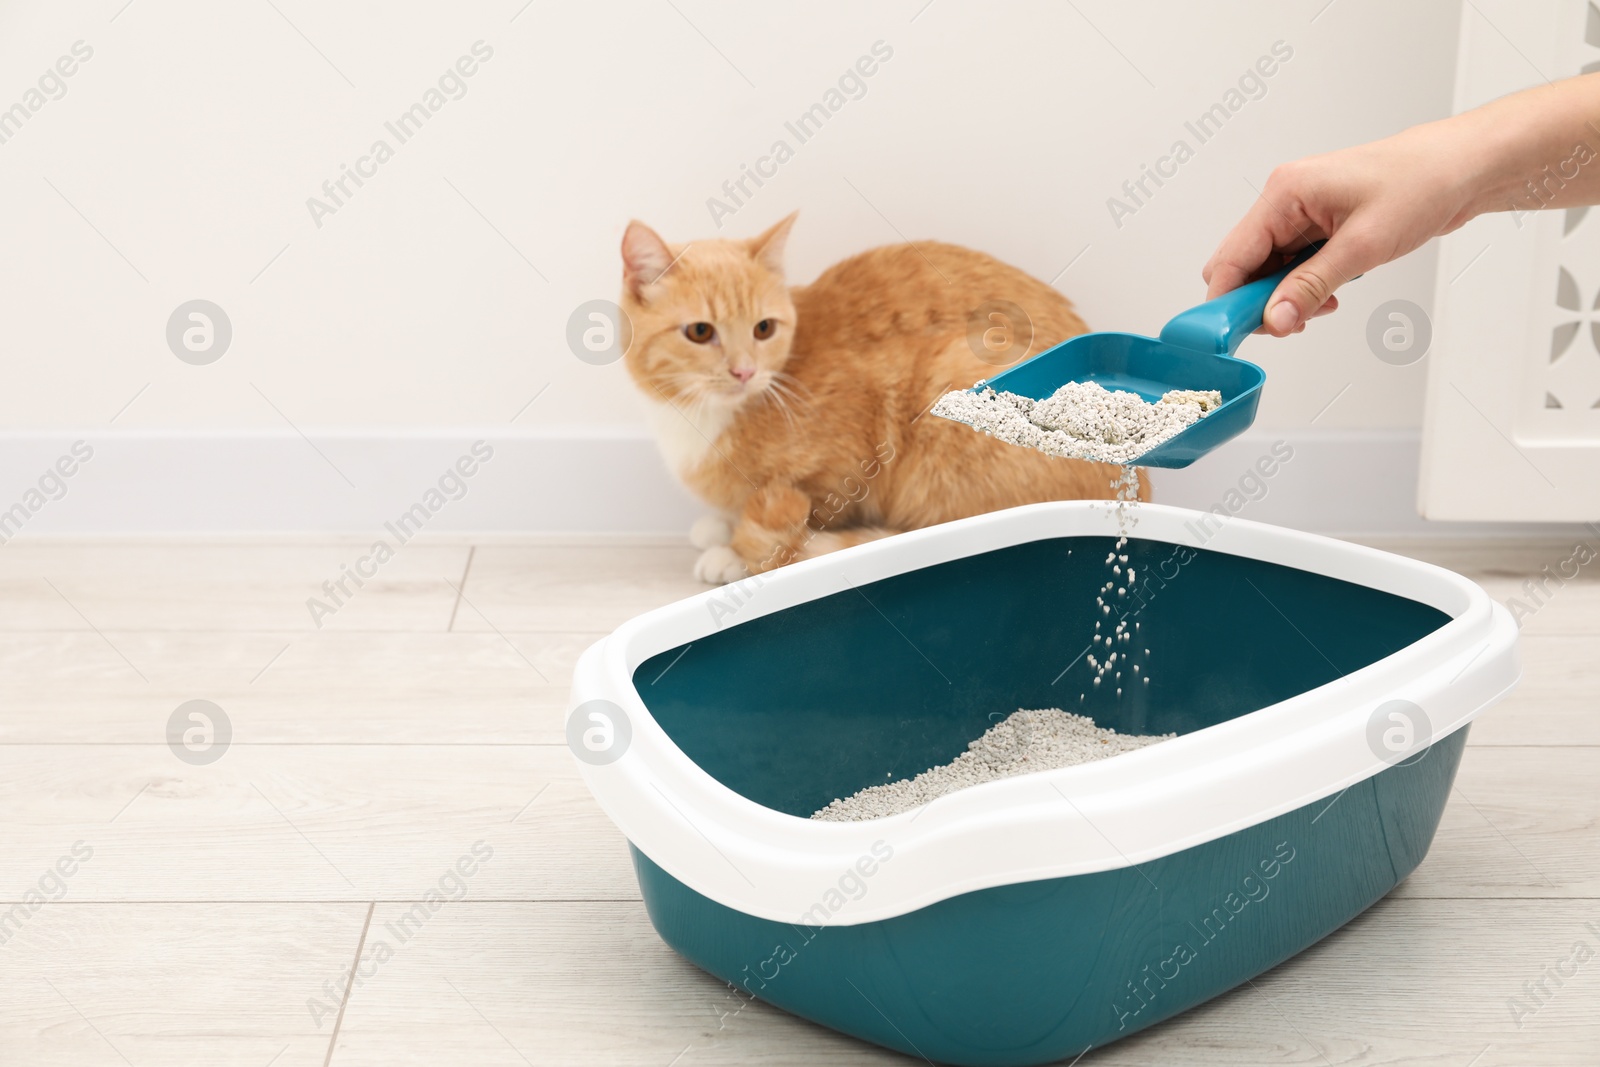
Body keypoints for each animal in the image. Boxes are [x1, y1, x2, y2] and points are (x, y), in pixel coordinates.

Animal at [617, 215, 1145, 585]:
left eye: (762, 328)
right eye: (700, 332)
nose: (744, 370)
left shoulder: (844, 465)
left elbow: (800, 523)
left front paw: (730, 552)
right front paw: (719, 528)